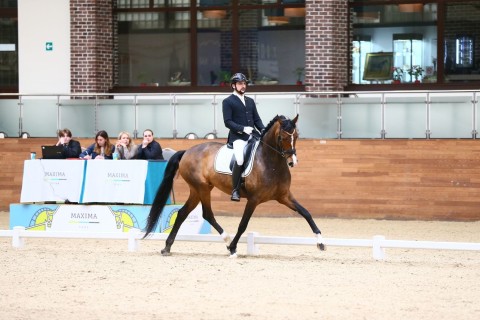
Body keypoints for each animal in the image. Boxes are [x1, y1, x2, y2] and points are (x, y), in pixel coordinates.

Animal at [142, 115, 322, 258]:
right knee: (207, 214)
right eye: (281, 137)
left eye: (296, 136)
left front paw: (320, 241)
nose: (292, 162)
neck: (270, 163)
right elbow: (243, 224)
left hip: (197, 190)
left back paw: (167, 247)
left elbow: (306, 213)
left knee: (182, 213)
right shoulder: (254, 199)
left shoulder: (284, 196)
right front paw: (233, 248)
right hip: (202, 188)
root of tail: (187, 151)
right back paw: (227, 241)